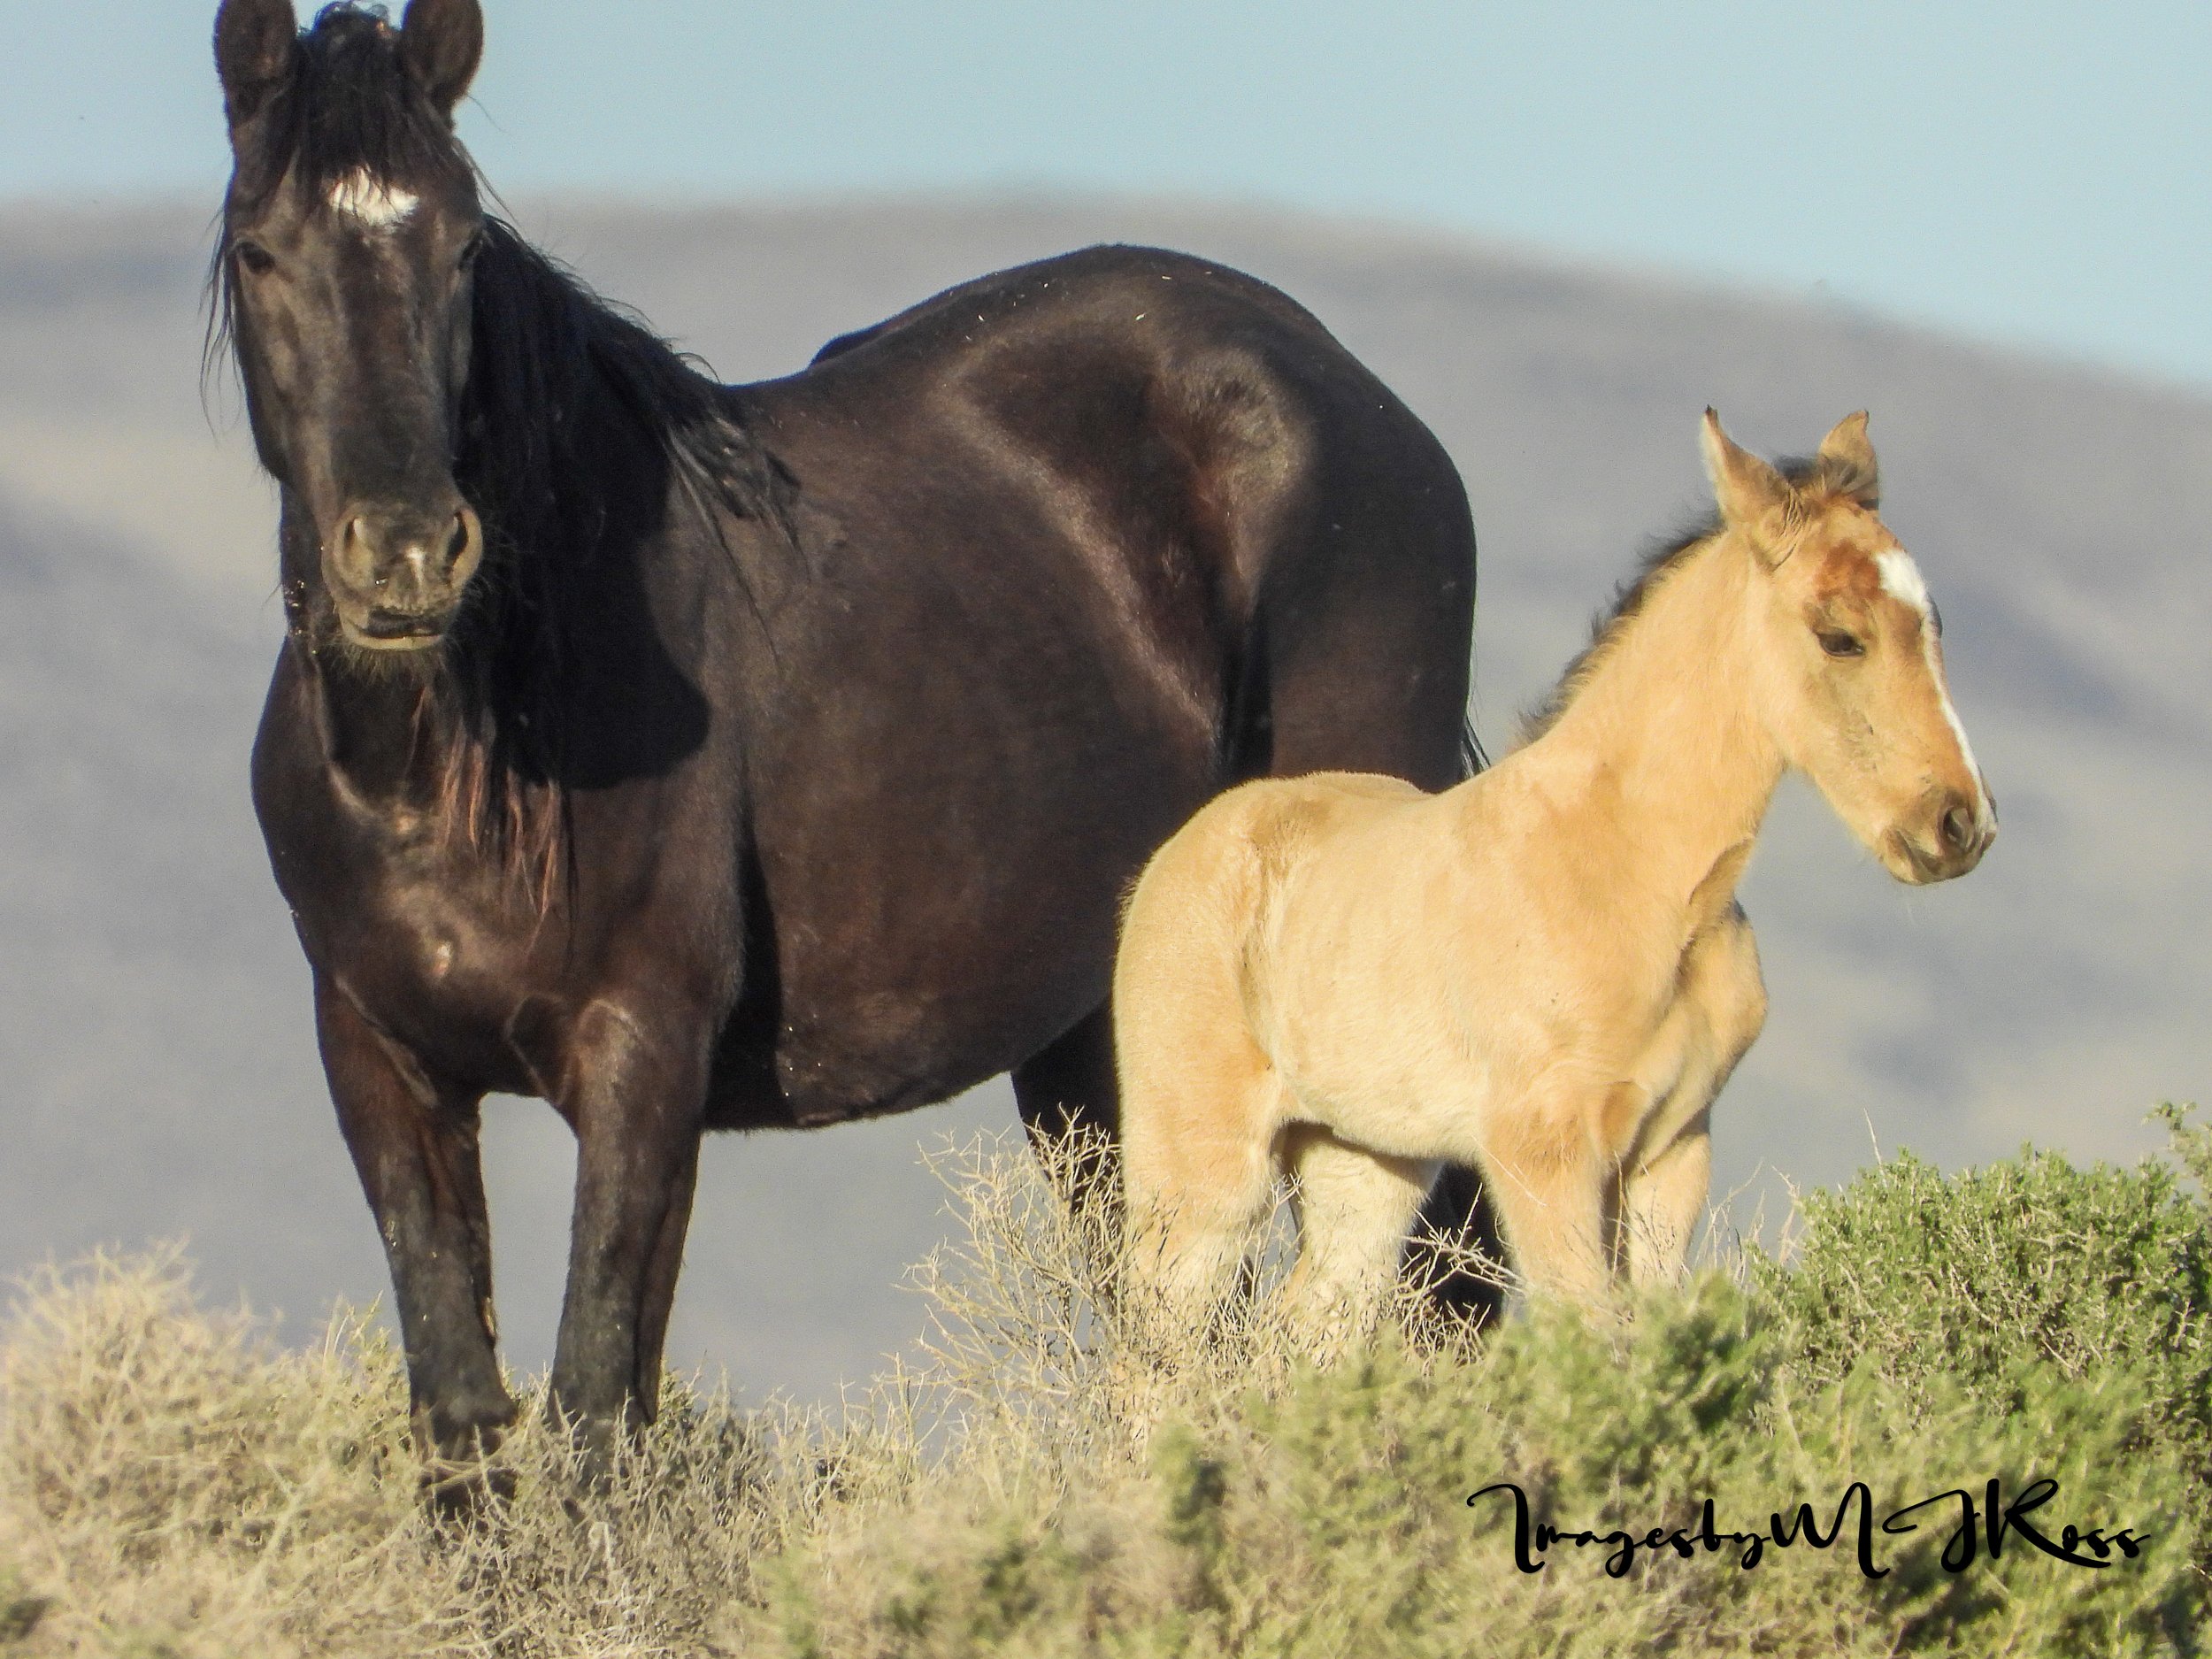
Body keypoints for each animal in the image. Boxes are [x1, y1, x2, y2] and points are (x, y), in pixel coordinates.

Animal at [211, 0, 1484, 1473]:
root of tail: (1344, 390)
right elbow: (469, 1416)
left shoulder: (640, 1062)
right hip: (1106, 1050)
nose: (409, 554)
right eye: (261, 248)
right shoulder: (384, 1066)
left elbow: (595, 1408)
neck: (455, 759)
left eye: (462, 247)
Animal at [1114, 411, 1995, 1331]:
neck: (1640, 875)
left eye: (1934, 624)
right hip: (1200, 1169)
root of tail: (1171, 859)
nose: (1958, 824)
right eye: (1841, 636)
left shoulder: (1671, 1154)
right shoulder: (1544, 1155)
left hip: (1364, 1160)